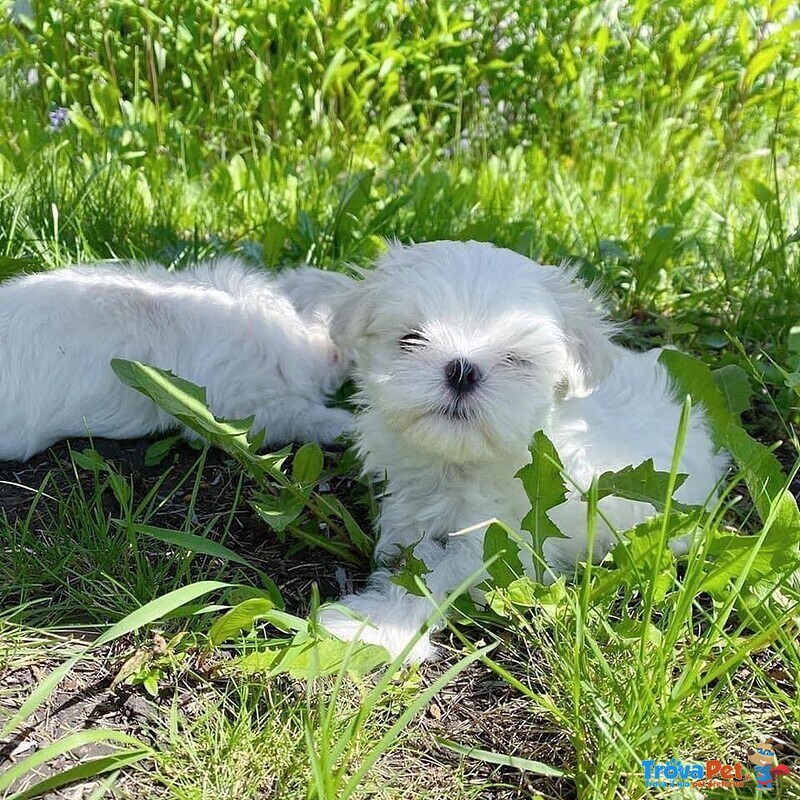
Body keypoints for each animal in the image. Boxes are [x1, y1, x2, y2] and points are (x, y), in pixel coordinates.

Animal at [318, 242, 724, 664]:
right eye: (411, 338)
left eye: (516, 360)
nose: (462, 370)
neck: (460, 463)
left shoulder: (505, 543)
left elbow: (438, 574)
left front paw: (374, 625)